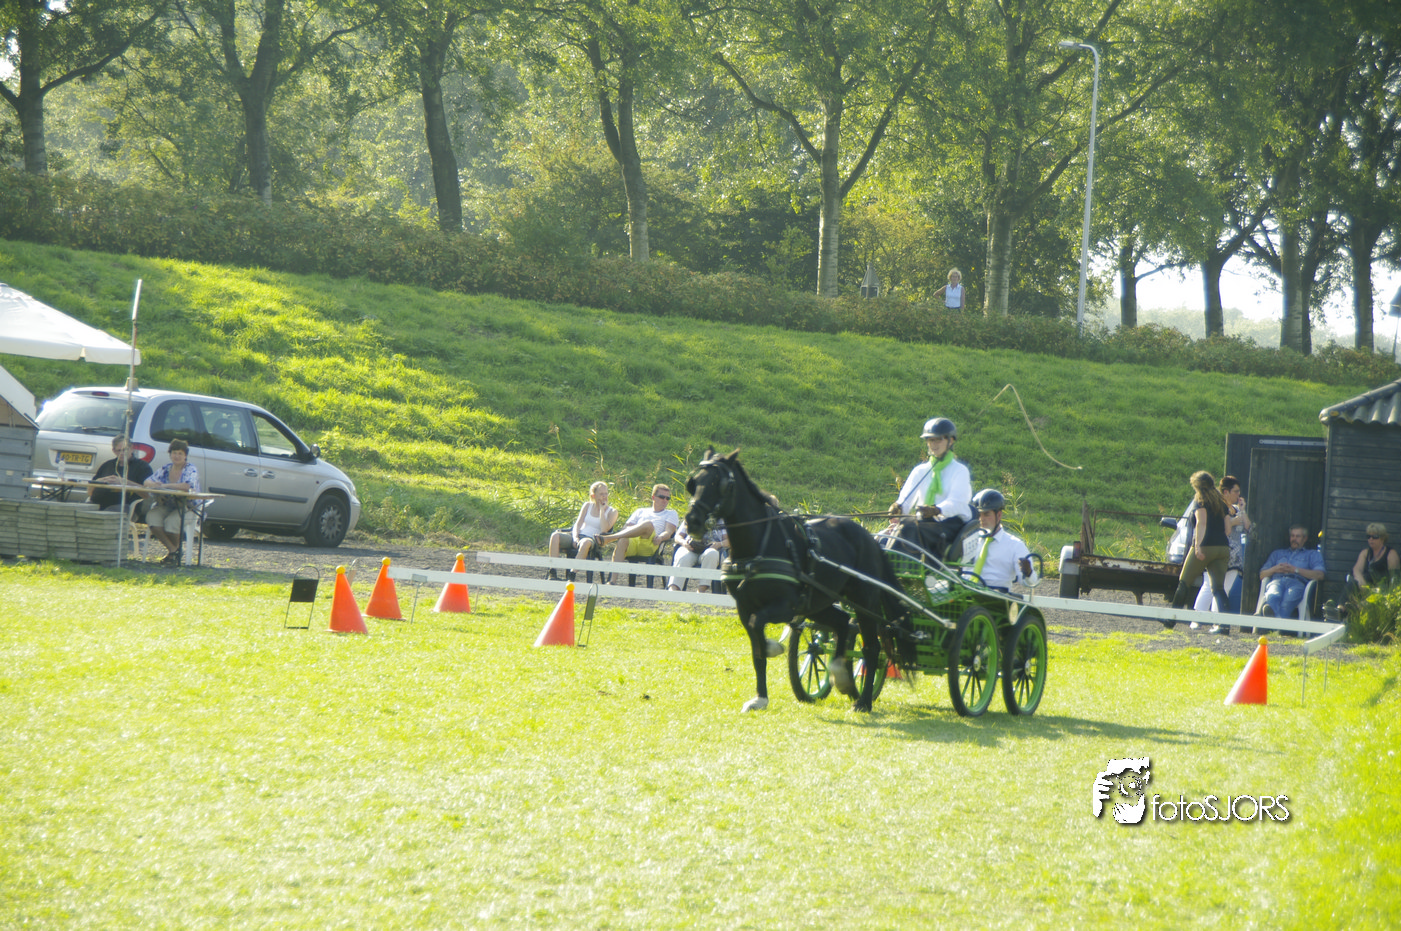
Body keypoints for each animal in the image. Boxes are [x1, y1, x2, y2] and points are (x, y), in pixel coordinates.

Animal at [683, 448, 910, 712]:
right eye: (693, 482)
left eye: (718, 484)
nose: (692, 521)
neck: (758, 545)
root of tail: (871, 539)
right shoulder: (744, 607)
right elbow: (757, 651)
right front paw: (760, 697)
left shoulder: (786, 606)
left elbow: (757, 625)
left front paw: (772, 648)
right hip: (819, 603)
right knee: (843, 624)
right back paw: (842, 677)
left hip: (864, 602)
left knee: (871, 648)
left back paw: (862, 701)